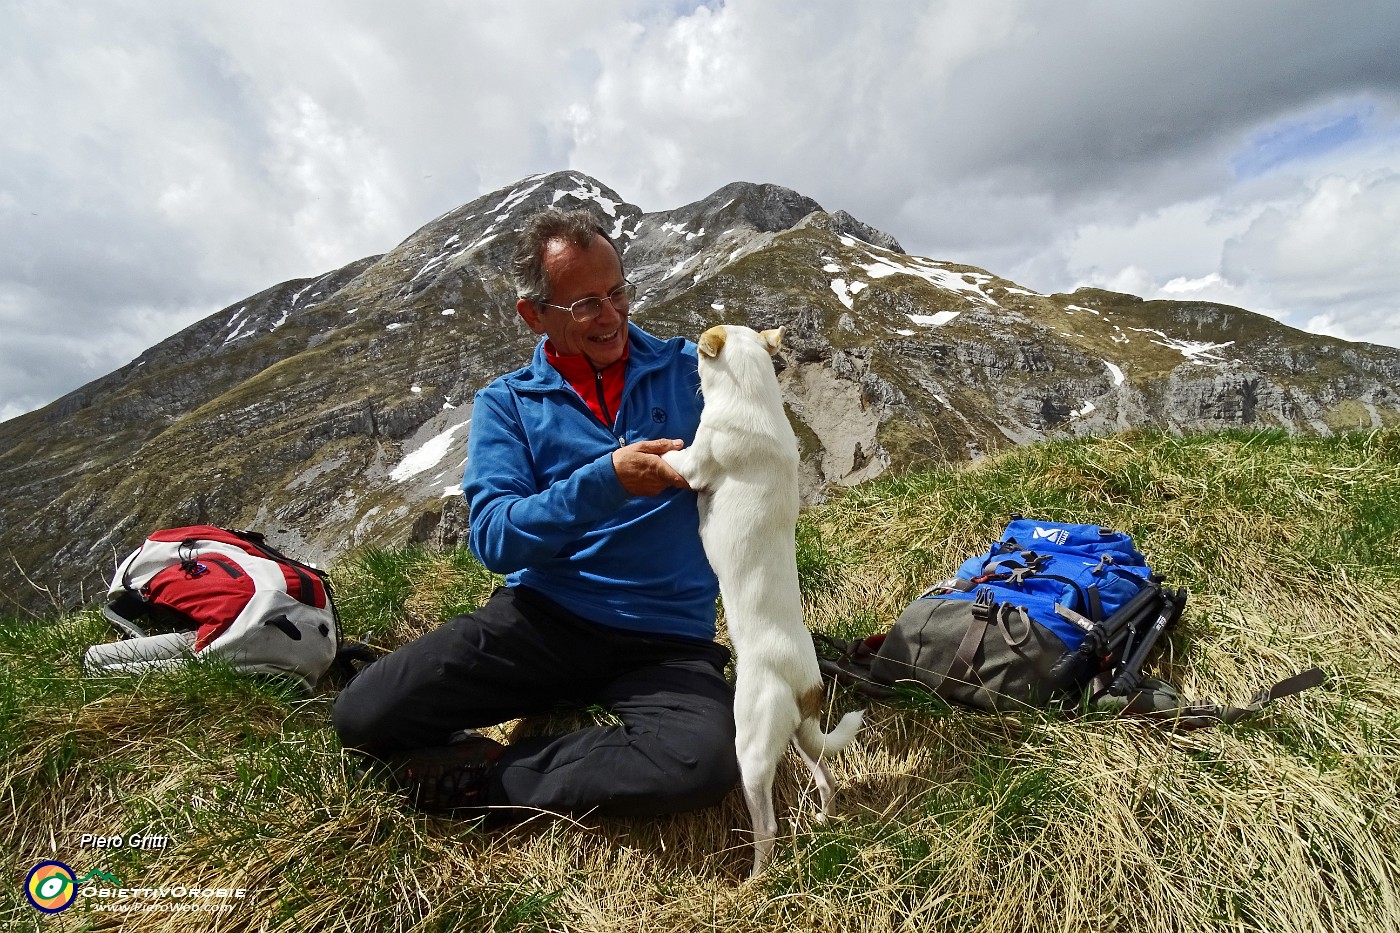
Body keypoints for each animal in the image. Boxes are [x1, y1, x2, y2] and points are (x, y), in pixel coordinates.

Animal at [660, 323, 856, 874]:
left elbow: (672, 457)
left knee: (767, 826)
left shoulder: (695, 461)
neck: (752, 396)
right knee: (827, 778)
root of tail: (806, 686)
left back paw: (757, 877)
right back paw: (823, 821)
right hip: (798, 739)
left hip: (750, 746)